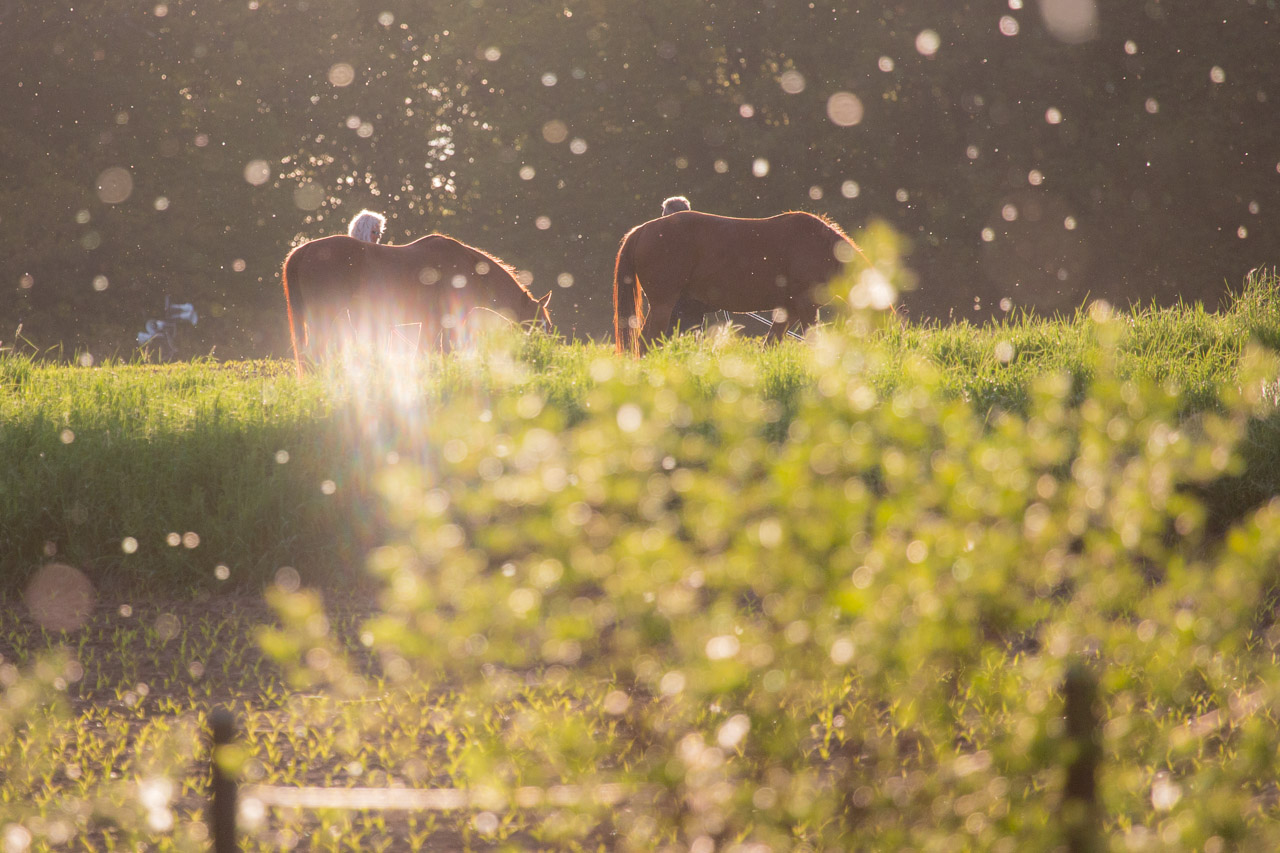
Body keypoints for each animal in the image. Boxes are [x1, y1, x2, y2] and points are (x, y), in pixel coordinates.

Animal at [282, 234, 551, 377]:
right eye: (539, 323)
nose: (544, 351)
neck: (467, 269)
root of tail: (305, 249)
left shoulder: (429, 323)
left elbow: (425, 354)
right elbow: (447, 352)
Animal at [613, 210, 862, 355]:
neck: (819, 247)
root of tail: (642, 229)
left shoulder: (789, 309)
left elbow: (770, 344)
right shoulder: (806, 306)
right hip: (662, 304)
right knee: (646, 343)